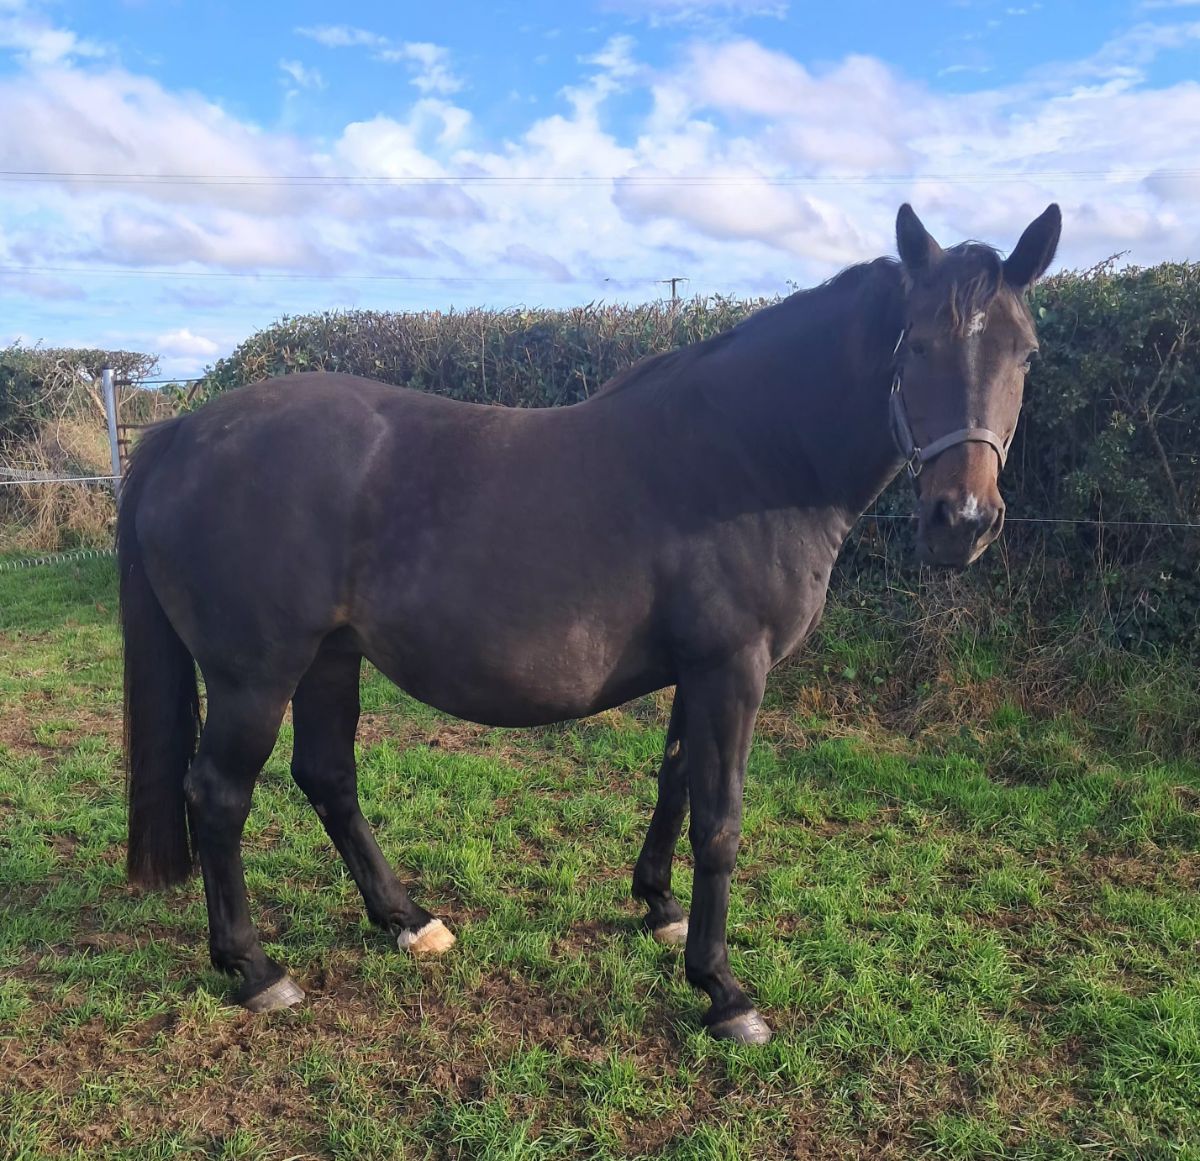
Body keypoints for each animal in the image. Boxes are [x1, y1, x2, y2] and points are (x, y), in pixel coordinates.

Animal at [118, 203, 1061, 1044]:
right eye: (919, 344)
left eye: (1025, 353)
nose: (962, 521)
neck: (753, 454)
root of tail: (182, 431)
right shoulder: (734, 667)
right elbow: (721, 820)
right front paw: (724, 991)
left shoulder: (699, 669)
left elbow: (676, 784)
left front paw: (661, 908)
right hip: (256, 674)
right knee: (220, 796)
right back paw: (255, 969)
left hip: (328, 658)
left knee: (327, 777)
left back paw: (408, 918)